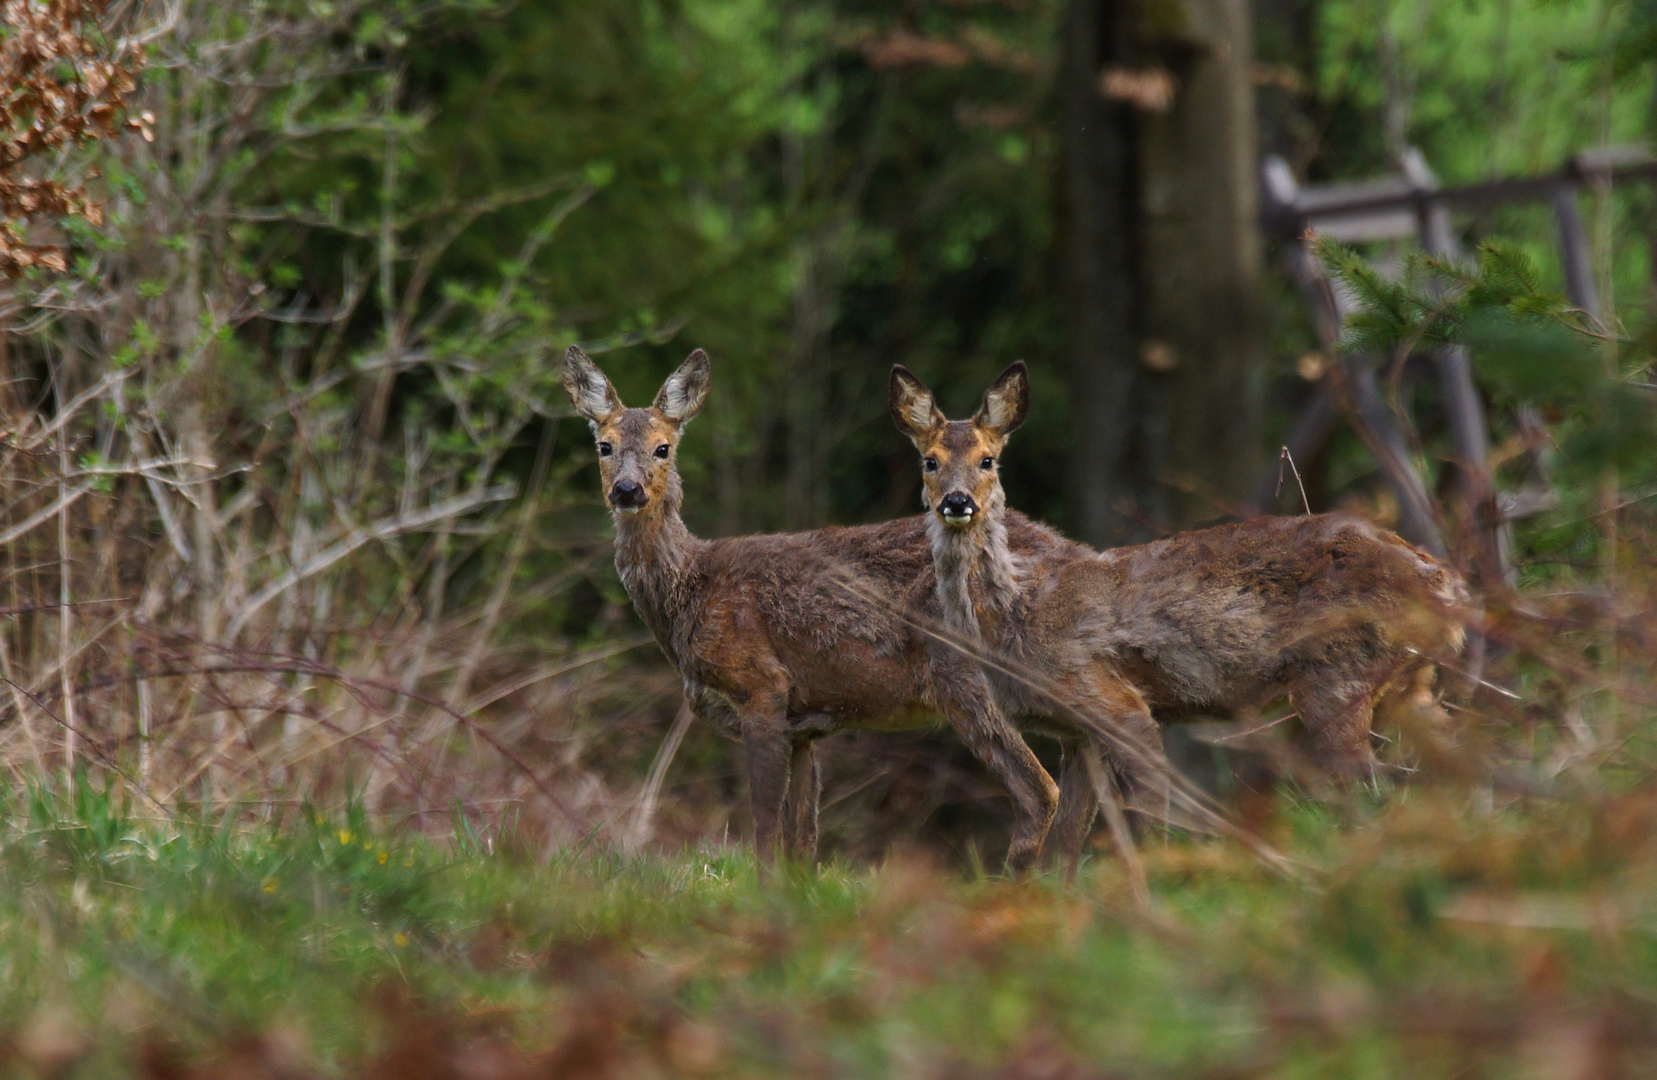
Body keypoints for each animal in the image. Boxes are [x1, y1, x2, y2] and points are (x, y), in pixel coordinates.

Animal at [888, 362, 1471, 861]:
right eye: (929, 461)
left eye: (988, 459)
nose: (957, 502)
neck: (1015, 622)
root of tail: (1447, 585)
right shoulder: (1076, 734)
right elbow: (1064, 848)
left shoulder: (1114, 701)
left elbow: (1150, 821)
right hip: (1401, 681)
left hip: (1337, 673)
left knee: (1371, 790)